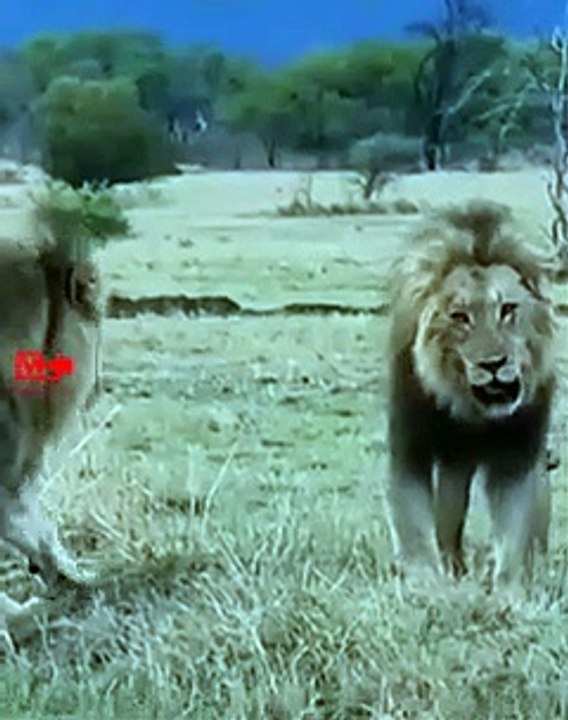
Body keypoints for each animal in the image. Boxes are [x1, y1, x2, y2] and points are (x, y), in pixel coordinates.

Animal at [386, 201, 556, 587]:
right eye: (460, 317)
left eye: (507, 309)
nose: (493, 364)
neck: (473, 410)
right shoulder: (411, 444)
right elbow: (413, 521)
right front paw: (426, 582)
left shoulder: (517, 454)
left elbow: (514, 527)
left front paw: (510, 588)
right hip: (454, 462)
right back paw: (453, 567)